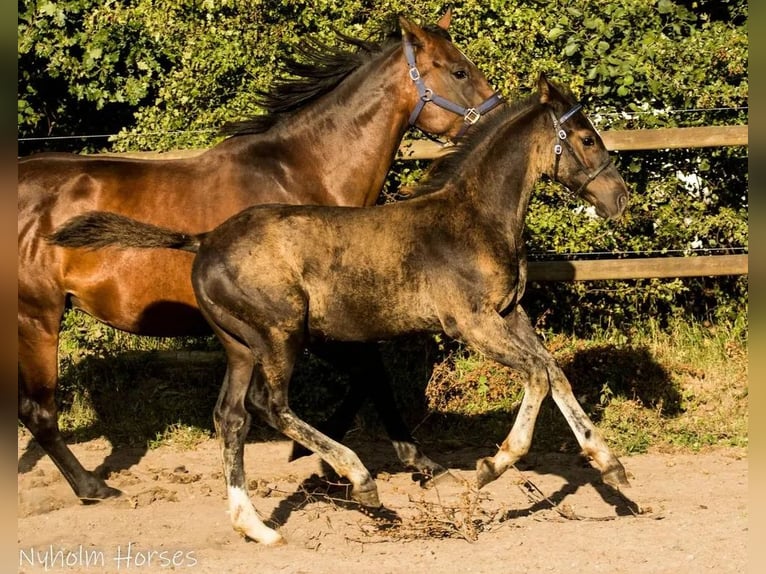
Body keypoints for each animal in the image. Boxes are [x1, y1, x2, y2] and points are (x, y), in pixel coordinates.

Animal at [18, 11, 503, 503]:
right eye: (459, 71)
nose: (499, 119)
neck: (302, 174)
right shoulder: (309, 324)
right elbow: (373, 376)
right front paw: (409, 463)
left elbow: (364, 378)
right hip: (37, 317)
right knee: (38, 412)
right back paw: (93, 486)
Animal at [49, 73, 630, 545]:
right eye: (585, 138)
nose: (620, 196)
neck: (474, 218)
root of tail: (204, 240)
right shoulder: (472, 322)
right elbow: (536, 375)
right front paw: (494, 464)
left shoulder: (510, 314)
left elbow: (554, 372)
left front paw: (613, 469)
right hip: (281, 334)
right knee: (269, 405)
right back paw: (361, 483)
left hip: (240, 345)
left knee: (230, 416)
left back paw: (255, 527)